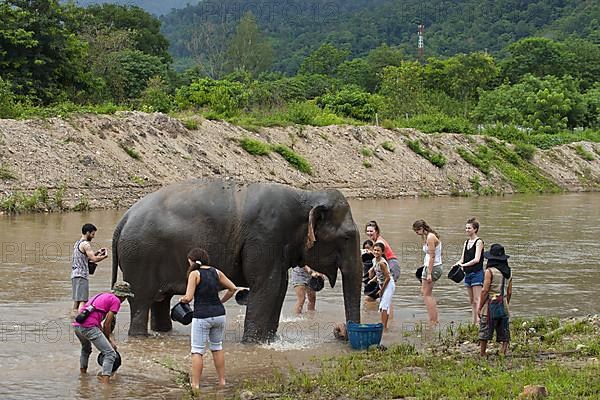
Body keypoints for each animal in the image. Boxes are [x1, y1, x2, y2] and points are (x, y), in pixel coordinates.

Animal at [112, 180, 364, 342]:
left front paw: (269, 341)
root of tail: (124, 218)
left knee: (160, 300)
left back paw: (163, 333)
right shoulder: (265, 236)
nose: (341, 332)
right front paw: (253, 343)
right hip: (140, 258)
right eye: (347, 237)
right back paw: (140, 337)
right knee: (142, 301)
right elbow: (266, 286)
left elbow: (279, 287)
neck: (305, 196)